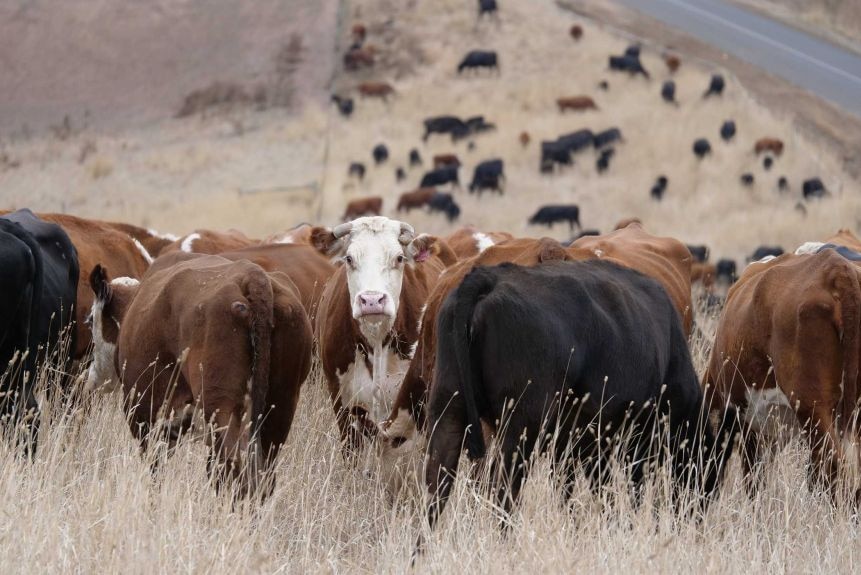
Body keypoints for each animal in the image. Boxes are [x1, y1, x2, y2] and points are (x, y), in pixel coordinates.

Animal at [84, 254, 310, 498]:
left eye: (90, 320)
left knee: (236, 468)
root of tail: (253, 275)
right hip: (279, 408)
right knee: (259, 475)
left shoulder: (145, 414)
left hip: (221, 408)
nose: (92, 376)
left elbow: (155, 469)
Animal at [422, 260, 732, 536]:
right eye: (708, 476)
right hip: (520, 426)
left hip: (448, 411)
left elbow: (576, 488)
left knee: (435, 490)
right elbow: (628, 487)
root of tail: (488, 277)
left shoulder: (575, 443)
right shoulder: (633, 436)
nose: (695, 517)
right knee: (503, 491)